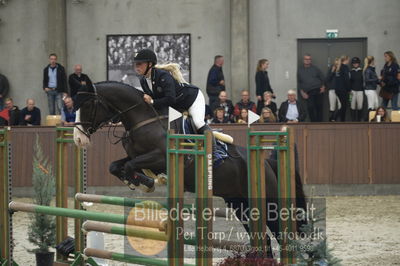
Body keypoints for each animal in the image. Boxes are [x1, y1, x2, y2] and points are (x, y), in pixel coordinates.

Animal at [74, 80, 306, 239]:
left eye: (87, 105)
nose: (78, 138)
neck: (143, 119)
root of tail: (266, 163)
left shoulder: (159, 157)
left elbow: (131, 165)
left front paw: (147, 183)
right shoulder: (135, 155)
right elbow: (115, 166)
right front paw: (138, 181)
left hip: (267, 202)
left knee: (280, 232)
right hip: (240, 204)